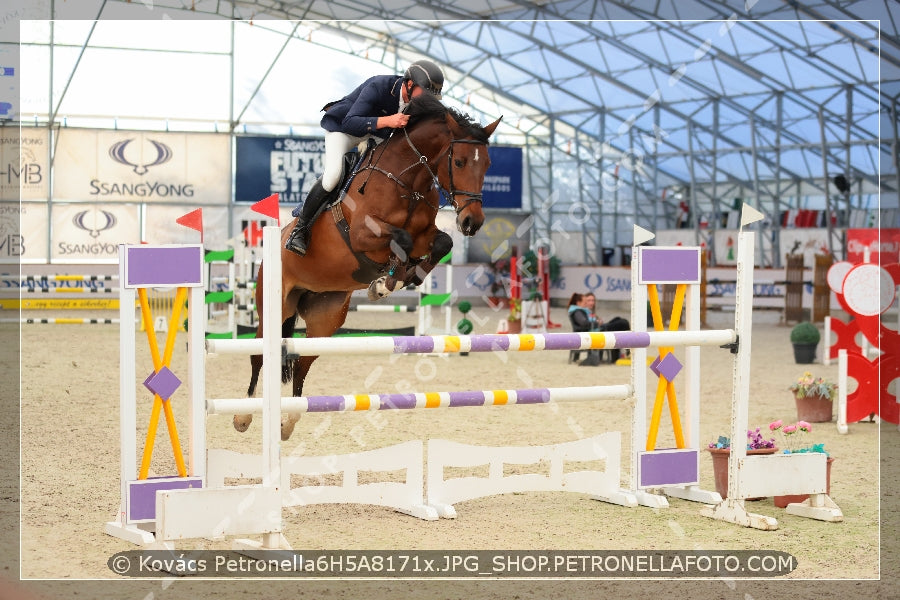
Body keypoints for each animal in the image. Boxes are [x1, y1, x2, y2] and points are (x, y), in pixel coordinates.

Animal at [239, 95, 502, 440]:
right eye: (458, 162)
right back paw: (243, 416)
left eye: (487, 165)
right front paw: (386, 282)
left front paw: (399, 279)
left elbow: (441, 243)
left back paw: (288, 422)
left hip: (325, 317)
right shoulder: (363, 233)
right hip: (274, 305)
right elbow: (400, 238)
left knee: (303, 363)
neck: (408, 180)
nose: (473, 222)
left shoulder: (426, 235)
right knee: (258, 354)